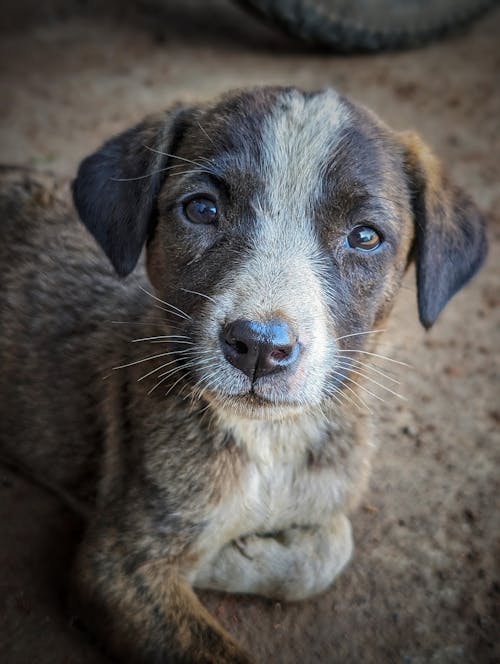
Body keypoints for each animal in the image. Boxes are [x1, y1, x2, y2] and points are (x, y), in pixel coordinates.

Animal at [0, 88, 484, 664]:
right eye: (202, 208)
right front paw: (217, 556)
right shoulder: (116, 564)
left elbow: (332, 547)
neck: (271, 441)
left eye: (365, 236)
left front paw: (235, 554)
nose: (260, 347)